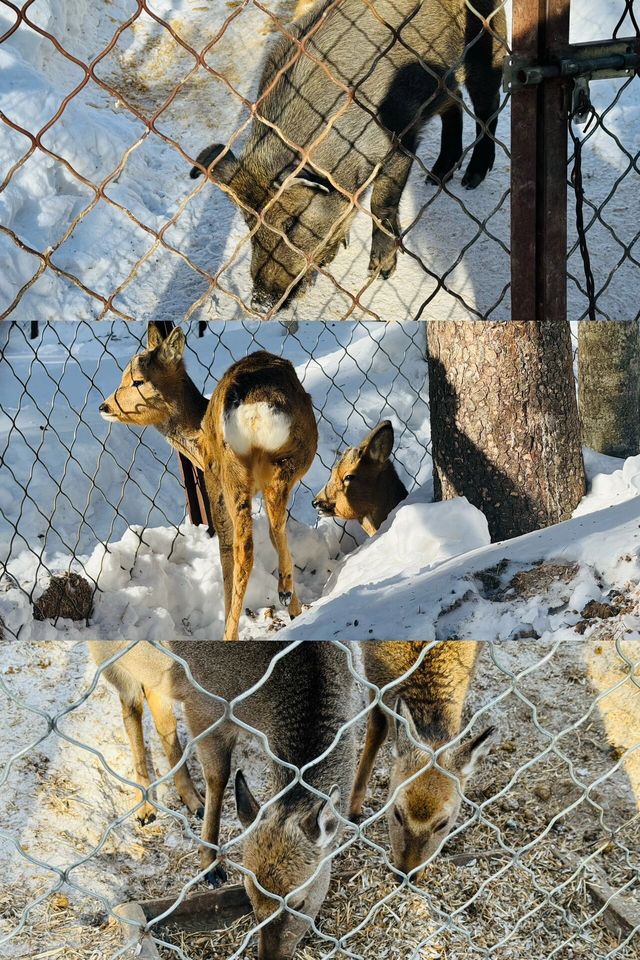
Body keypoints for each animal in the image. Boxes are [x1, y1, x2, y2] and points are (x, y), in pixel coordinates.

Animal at [86, 636, 356, 960]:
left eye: (300, 902)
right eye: (249, 894)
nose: (269, 956)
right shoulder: (205, 705)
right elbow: (218, 776)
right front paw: (211, 867)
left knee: (157, 707)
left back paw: (191, 799)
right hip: (110, 660)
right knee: (132, 706)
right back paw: (147, 807)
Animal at [99, 326, 318, 640]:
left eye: (137, 380)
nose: (104, 406)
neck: (198, 439)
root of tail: (258, 407)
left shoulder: (211, 479)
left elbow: (226, 548)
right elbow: (275, 535)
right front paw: (295, 609)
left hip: (228, 474)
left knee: (240, 549)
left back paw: (231, 632)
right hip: (288, 461)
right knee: (276, 527)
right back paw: (286, 594)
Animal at [350, 640, 496, 880]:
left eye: (443, 823)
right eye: (397, 813)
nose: (406, 874)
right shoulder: (373, 679)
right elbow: (377, 728)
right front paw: (352, 810)